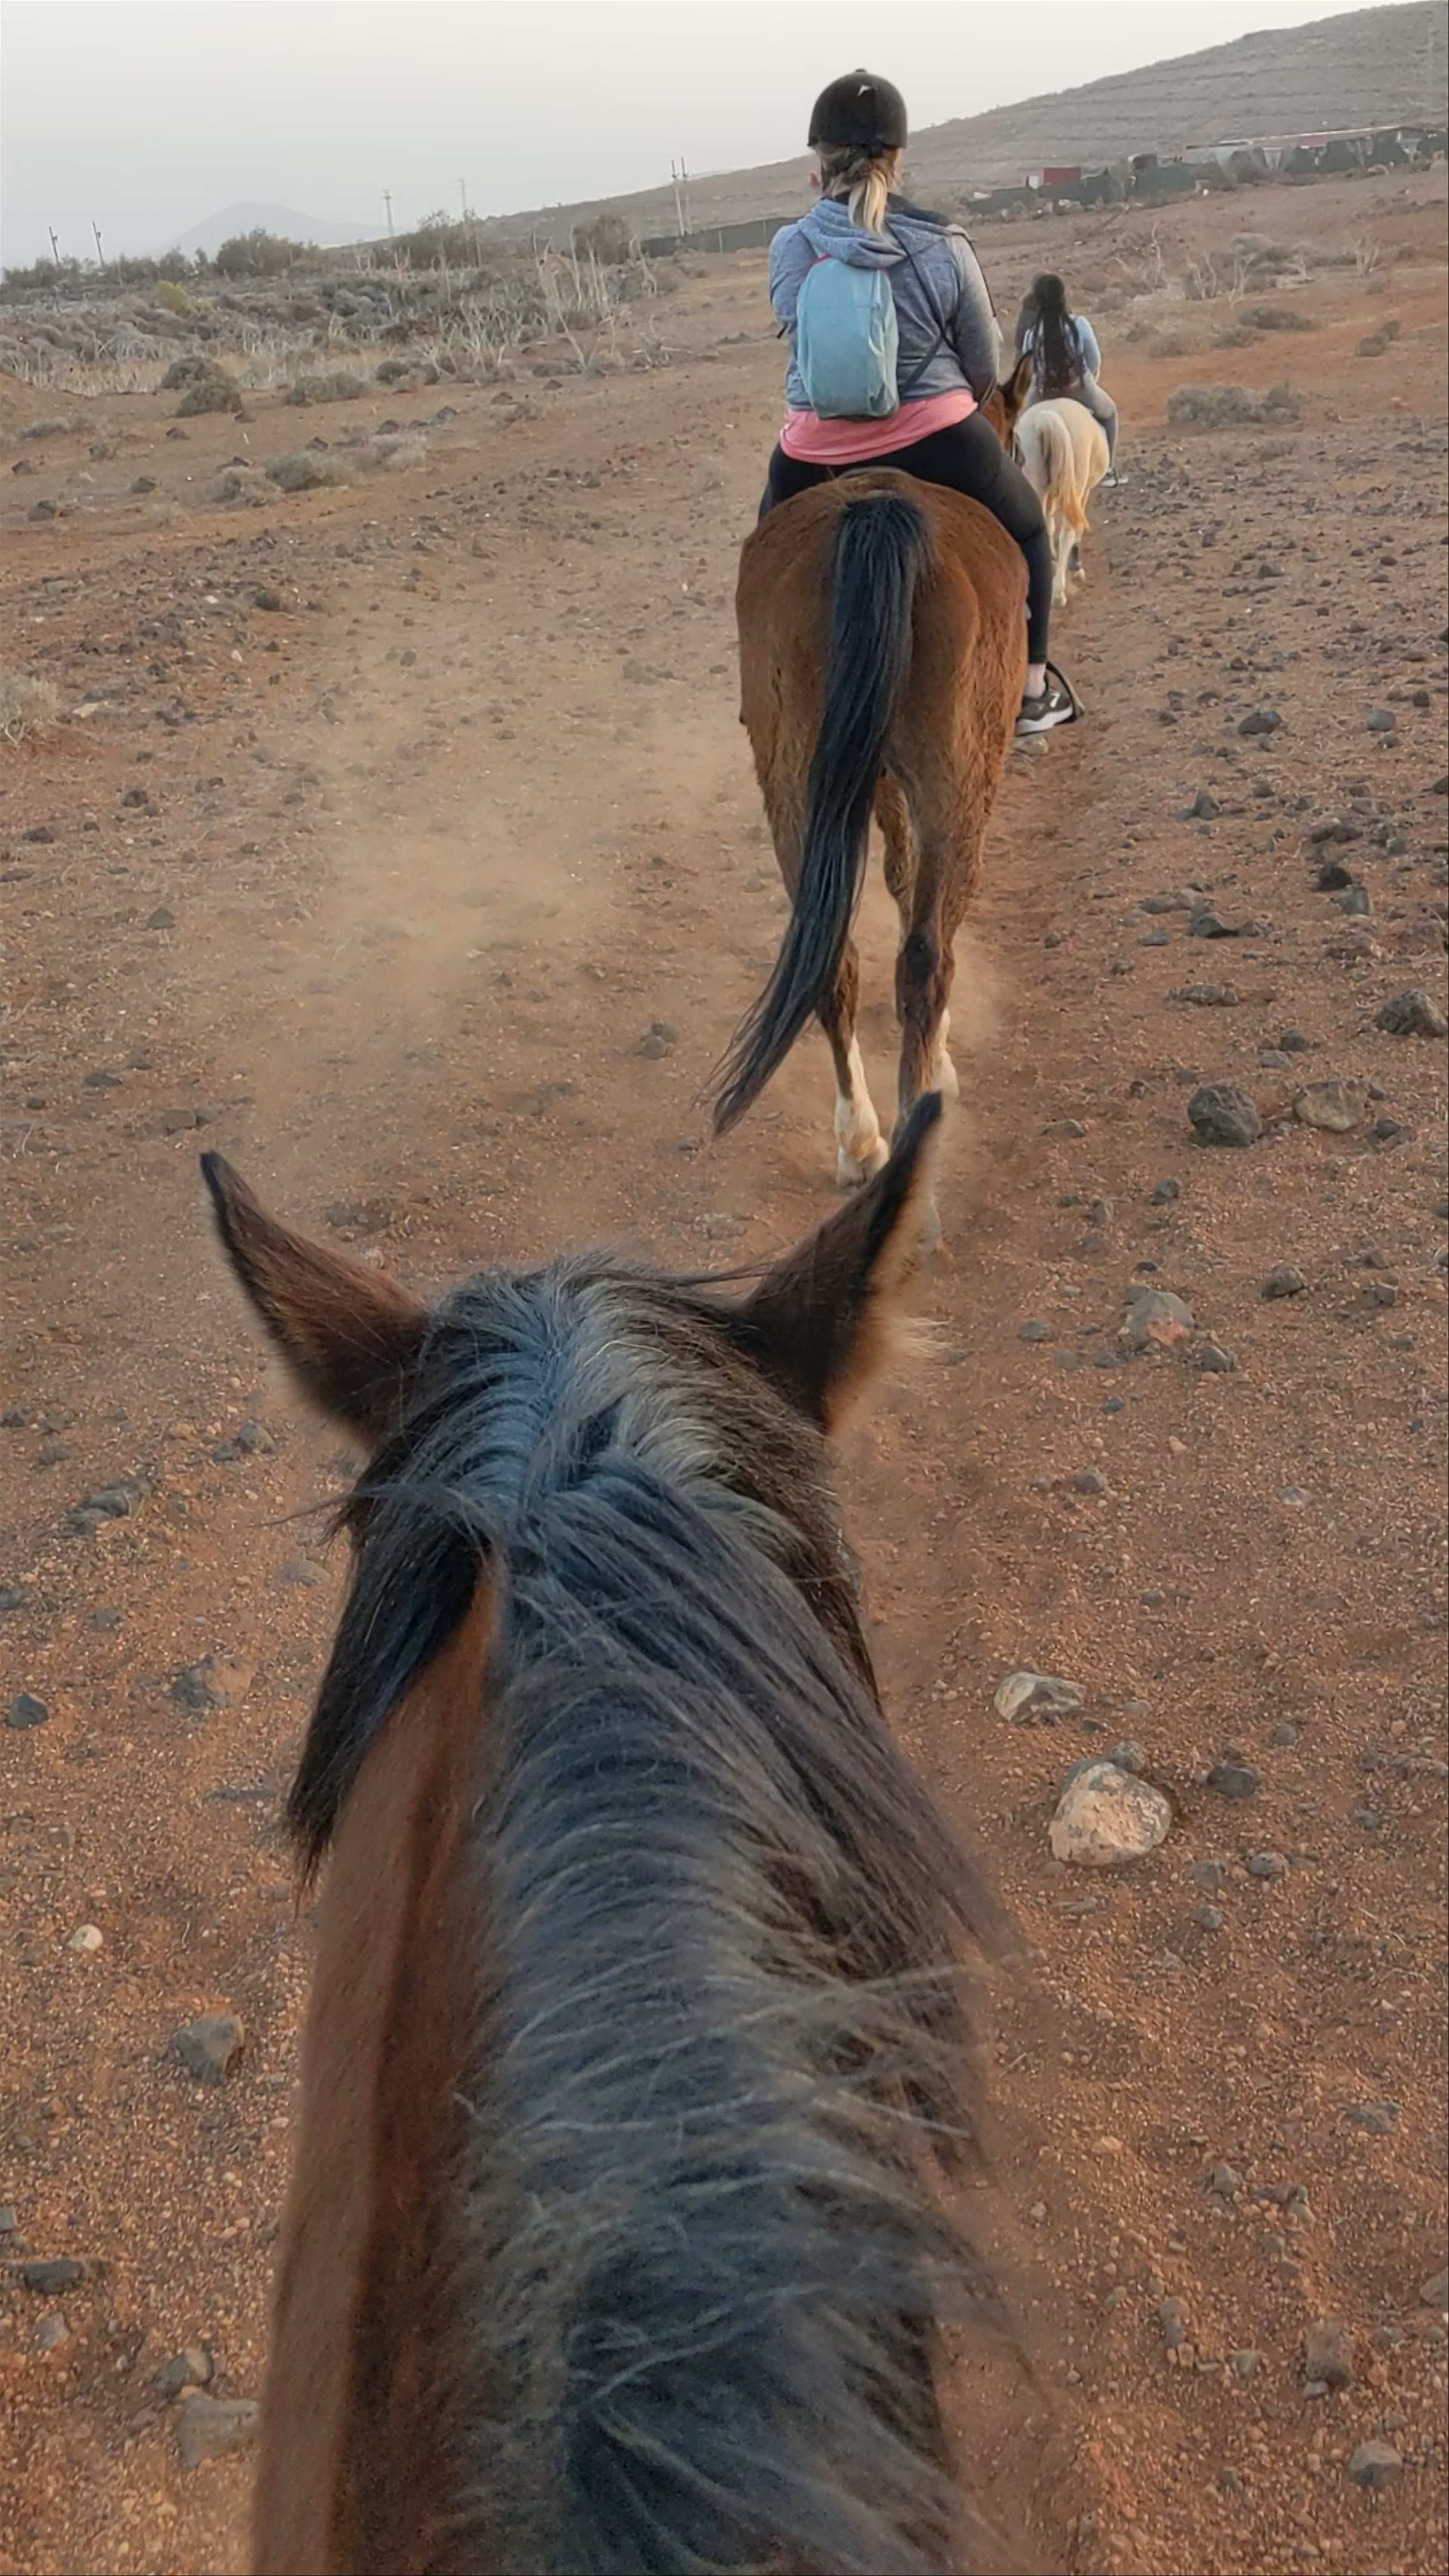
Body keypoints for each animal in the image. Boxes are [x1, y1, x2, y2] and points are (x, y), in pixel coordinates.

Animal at [715, 386, 1030, 1195]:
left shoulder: (873, 780)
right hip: (961, 777)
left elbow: (897, 873)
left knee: (832, 958)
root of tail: (875, 515)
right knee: (926, 954)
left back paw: (859, 1141)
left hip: (795, 779)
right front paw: (941, 1063)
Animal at [1011, 401, 1108, 607]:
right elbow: (1076, 530)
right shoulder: (1083, 493)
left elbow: (1049, 525)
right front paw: (1076, 568)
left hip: (1035, 483)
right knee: (1067, 532)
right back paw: (1059, 593)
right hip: (1077, 484)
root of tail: (1047, 419)